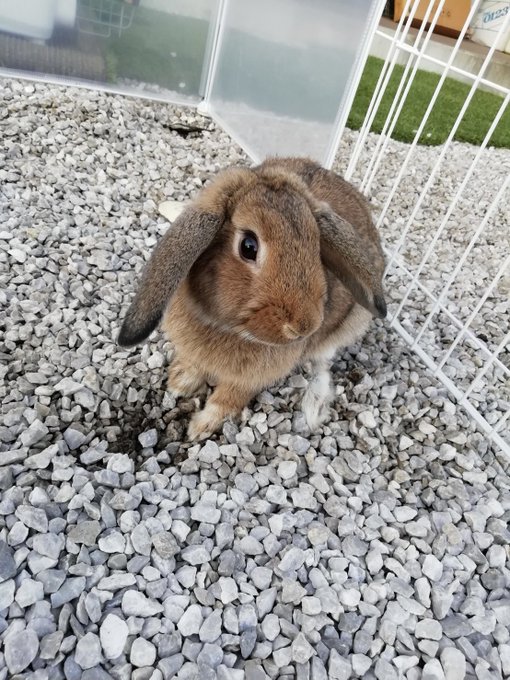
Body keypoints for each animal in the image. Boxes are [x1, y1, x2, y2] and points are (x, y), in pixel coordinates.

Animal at [117, 157, 386, 441]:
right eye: (248, 246)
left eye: (317, 248)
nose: (303, 327)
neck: (228, 329)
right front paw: (180, 383)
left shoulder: (251, 378)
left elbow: (228, 398)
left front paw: (200, 428)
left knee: (322, 362)